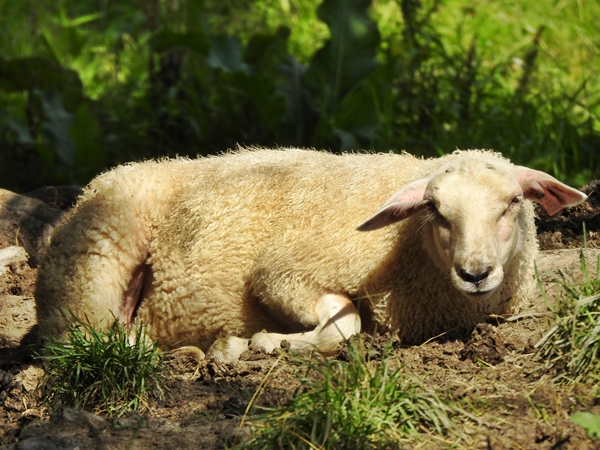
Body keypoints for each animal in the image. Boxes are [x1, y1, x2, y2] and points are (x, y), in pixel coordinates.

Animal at [32, 149, 584, 360]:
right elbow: (347, 324)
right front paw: (262, 342)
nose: (475, 273)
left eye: (513, 202)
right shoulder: (282, 272)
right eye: (435, 209)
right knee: (87, 341)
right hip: (94, 267)